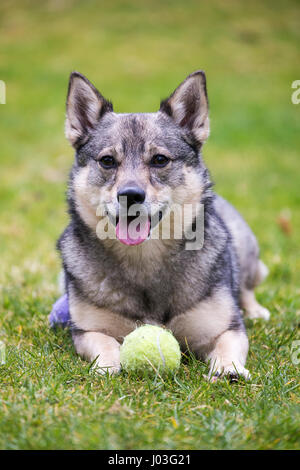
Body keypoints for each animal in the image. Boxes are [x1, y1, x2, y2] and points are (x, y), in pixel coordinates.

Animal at [56, 70, 270, 378]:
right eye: (107, 161)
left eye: (159, 160)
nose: (130, 195)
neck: (144, 260)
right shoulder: (88, 330)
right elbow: (105, 344)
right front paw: (107, 366)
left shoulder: (226, 328)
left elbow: (227, 346)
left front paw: (227, 369)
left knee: (246, 288)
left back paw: (255, 311)